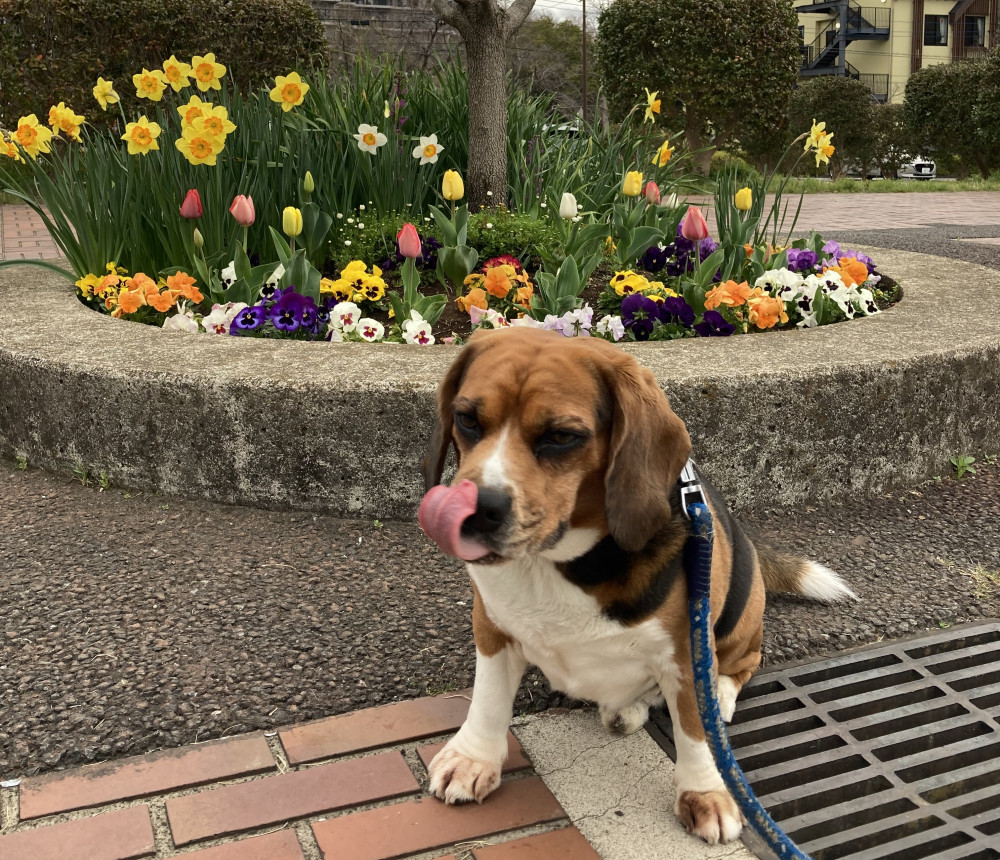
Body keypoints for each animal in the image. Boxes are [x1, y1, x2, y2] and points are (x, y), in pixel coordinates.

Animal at [418, 326, 856, 844]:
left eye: (562, 437)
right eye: (466, 419)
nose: (474, 510)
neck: (554, 563)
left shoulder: (686, 652)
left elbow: (693, 729)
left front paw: (705, 792)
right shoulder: (492, 627)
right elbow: (487, 699)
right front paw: (474, 758)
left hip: (739, 615)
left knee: (742, 664)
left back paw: (720, 694)